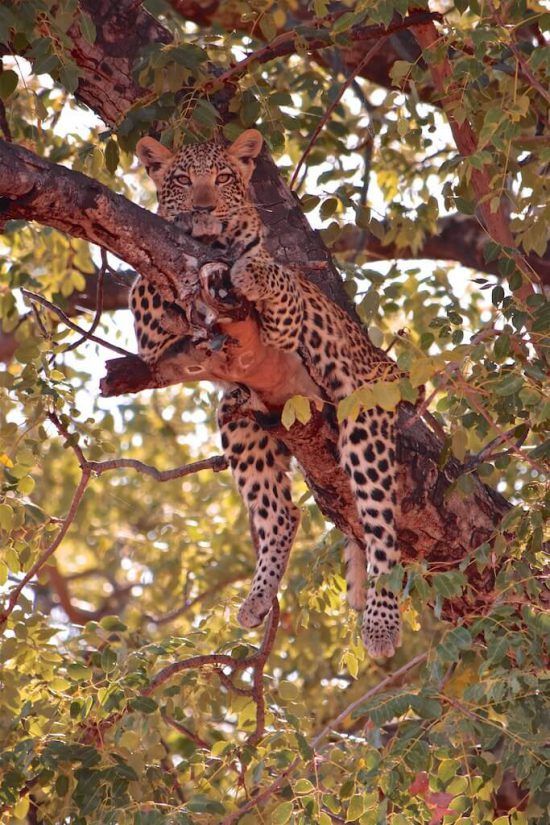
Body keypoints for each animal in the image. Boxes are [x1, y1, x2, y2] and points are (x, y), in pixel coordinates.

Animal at [131, 129, 404, 656]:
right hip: (238, 418)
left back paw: (382, 625)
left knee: (381, 526)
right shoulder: (158, 345)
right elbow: (143, 288)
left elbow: (273, 274)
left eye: (222, 177)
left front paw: (249, 269)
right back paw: (257, 598)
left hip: (364, 415)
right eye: (182, 179)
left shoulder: (286, 325)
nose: (203, 208)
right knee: (282, 513)